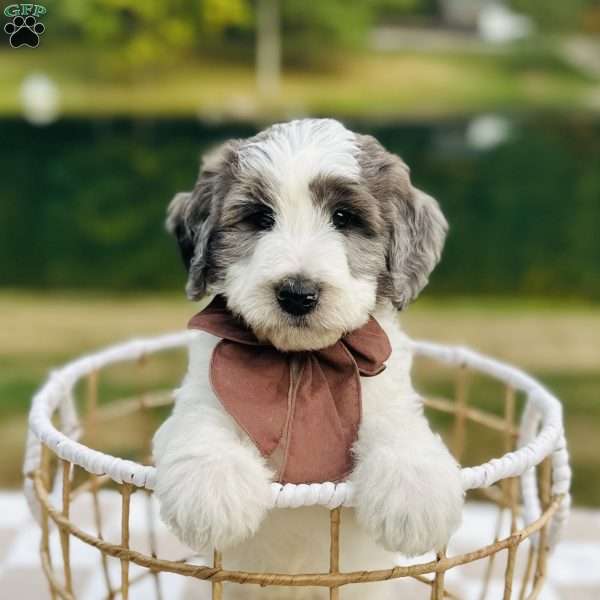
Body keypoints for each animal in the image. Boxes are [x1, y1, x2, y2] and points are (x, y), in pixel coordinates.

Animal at [154, 119, 464, 596]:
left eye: (343, 218)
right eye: (261, 218)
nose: (297, 294)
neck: (301, 366)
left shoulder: (385, 393)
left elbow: (399, 425)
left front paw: (416, 492)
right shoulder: (203, 389)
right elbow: (203, 422)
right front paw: (211, 488)